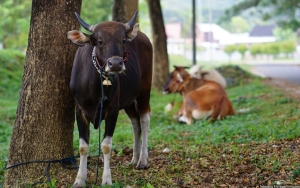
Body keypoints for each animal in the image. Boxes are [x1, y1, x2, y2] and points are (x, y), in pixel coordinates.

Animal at [67, 11, 152, 187]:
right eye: (100, 41)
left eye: (123, 40)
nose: (116, 64)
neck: (96, 86)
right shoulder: (79, 110)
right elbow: (83, 147)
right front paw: (79, 179)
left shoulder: (113, 110)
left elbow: (106, 145)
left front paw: (106, 179)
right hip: (128, 100)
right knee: (135, 123)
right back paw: (134, 159)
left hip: (144, 91)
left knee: (144, 119)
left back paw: (142, 160)